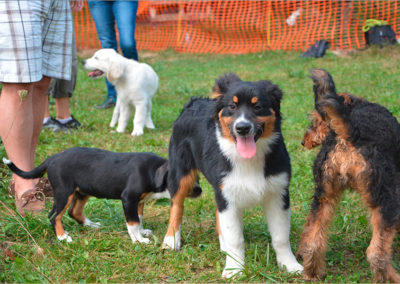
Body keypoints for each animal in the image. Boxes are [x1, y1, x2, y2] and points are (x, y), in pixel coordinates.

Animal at [2, 148, 175, 243]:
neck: (152, 170)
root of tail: (53, 157)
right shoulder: (129, 198)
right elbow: (133, 222)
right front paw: (139, 239)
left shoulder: (139, 201)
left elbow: (138, 218)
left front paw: (142, 232)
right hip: (64, 192)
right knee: (54, 216)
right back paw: (62, 237)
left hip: (82, 191)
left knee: (74, 212)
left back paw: (91, 225)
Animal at [162, 72, 304, 278]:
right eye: (233, 106)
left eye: (257, 106)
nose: (242, 127)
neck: (249, 160)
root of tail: (194, 101)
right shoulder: (227, 194)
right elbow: (236, 238)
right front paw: (234, 269)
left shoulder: (278, 193)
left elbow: (280, 236)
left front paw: (289, 264)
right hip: (181, 172)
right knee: (177, 205)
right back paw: (171, 240)